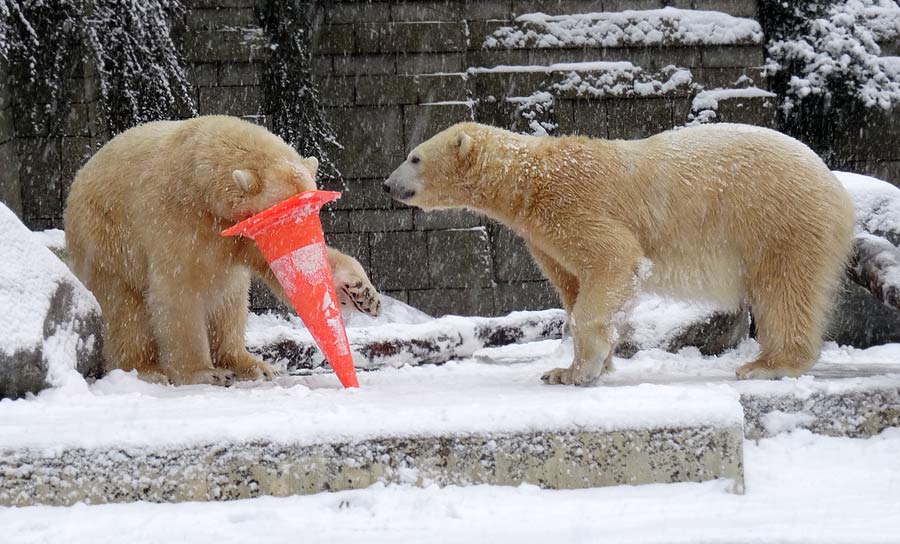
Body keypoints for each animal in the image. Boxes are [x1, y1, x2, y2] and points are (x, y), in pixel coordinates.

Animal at [67, 115, 380, 386]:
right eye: (283, 213)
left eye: (312, 208)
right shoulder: (174, 218)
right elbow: (178, 291)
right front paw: (203, 373)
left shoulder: (242, 231)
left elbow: (284, 271)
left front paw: (362, 294)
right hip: (106, 240)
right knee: (124, 309)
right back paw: (147, 370)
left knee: (231, 303)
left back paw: (251, 364)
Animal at [384, 123, 856, 384]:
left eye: (414, 157)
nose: (388, 184)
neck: (532, 178)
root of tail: (835, 186)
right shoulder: (544, 235)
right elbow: (575, 283)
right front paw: (568, 369)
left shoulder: (575, 204)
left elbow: (614, 259)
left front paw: (583, 371)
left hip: (778, 220)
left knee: (785, 289)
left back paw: (768, 364)